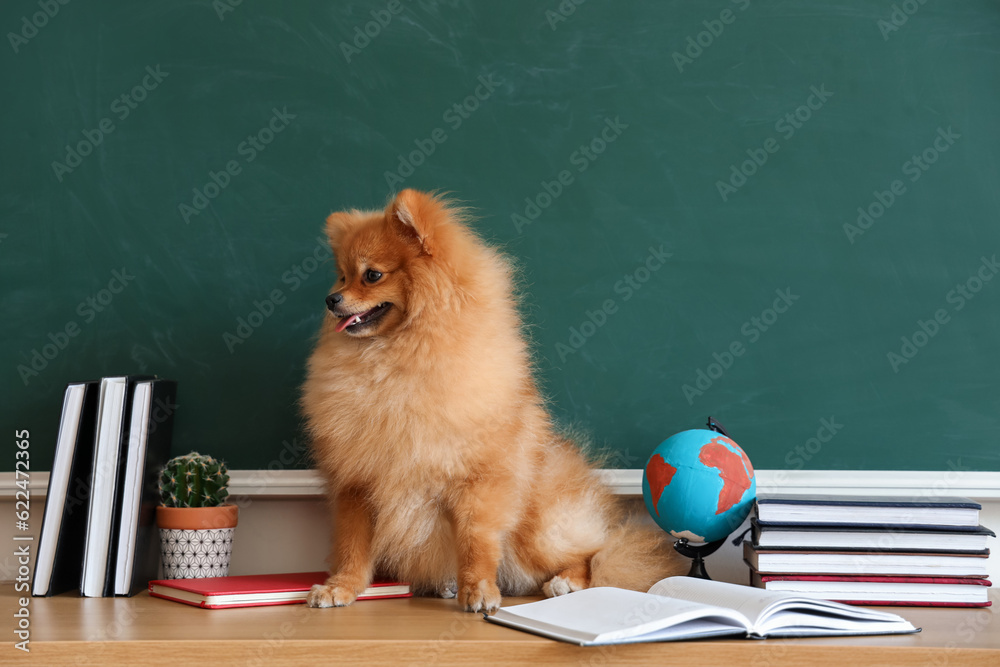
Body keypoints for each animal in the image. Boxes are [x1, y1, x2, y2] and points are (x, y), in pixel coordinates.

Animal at [300, 189, 684, 616]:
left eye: (372, 275)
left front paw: (479, 590)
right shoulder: (357, 483)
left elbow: (476, 541)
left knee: (599, 555)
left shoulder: (479, 481)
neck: (394, 360)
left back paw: (565, 581)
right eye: (342, 275)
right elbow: (352, 548)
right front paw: (341, 587)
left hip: (537, 530)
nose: (331, 299)